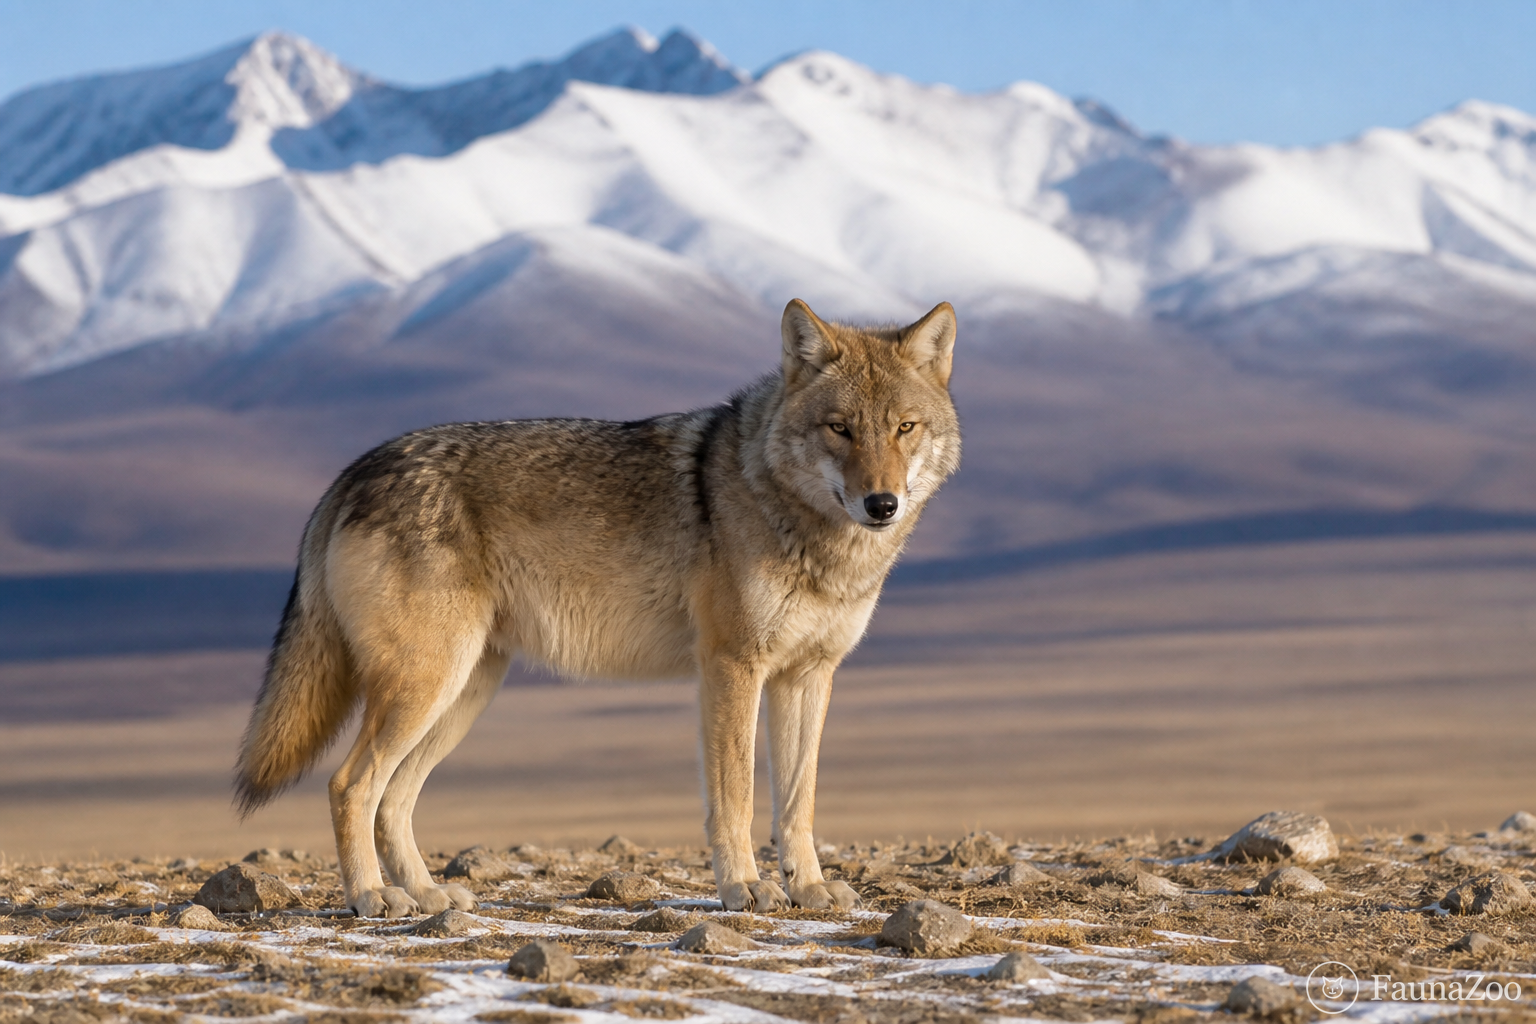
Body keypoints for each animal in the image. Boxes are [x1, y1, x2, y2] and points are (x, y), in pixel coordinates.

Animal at [233, 298, 961, 917]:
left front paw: (808, 888)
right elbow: (735, 796)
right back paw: (371, 898)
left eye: (904, 428)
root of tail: (354, 469)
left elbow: (798, 801)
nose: (882, 504)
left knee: (394, 800)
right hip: (426, 688)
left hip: (462, 695)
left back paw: (428, 894)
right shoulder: (731, 667)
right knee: (350, 785)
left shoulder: (808, 675)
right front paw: (745, 889)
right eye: (840, 429)